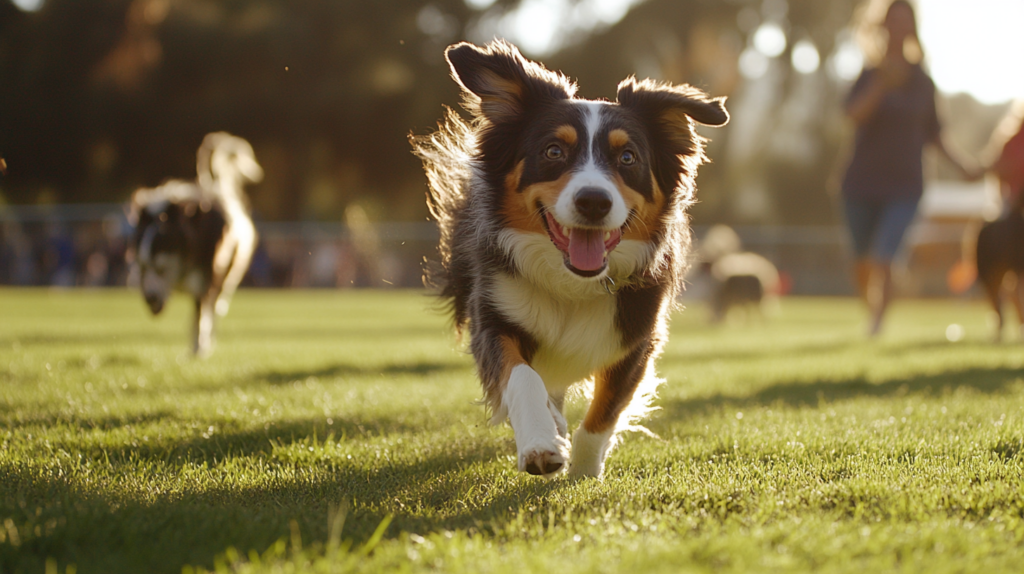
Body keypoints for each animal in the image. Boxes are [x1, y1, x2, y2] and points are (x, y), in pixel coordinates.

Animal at [128, 131, 262, 354]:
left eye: (161, 268)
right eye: (142, 267)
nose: (150, 298)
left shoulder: (206, 280)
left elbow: (200, 317)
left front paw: (199, 348)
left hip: (227, 275)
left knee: (214, 308)